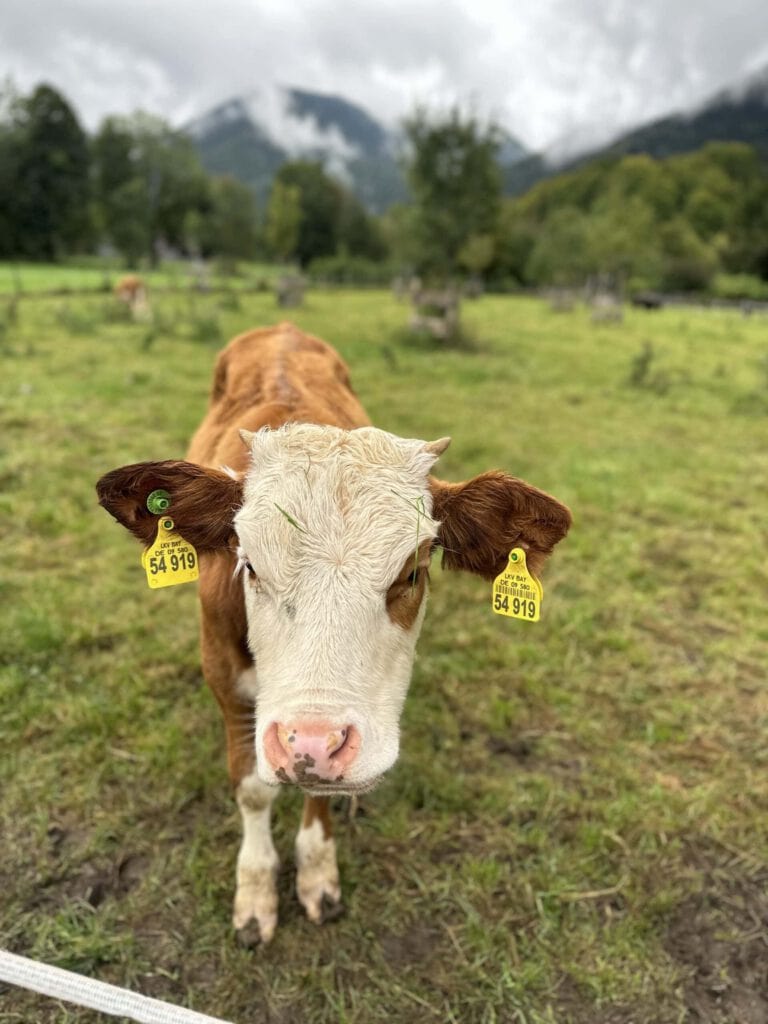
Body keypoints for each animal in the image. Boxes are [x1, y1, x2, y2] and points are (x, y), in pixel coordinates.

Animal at [96, 322, 571, 945]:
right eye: (249, 565)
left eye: (412, 572)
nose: (314, 743)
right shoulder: (222, 676)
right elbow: (252, 786)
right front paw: (255, 889)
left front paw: (317, 872)